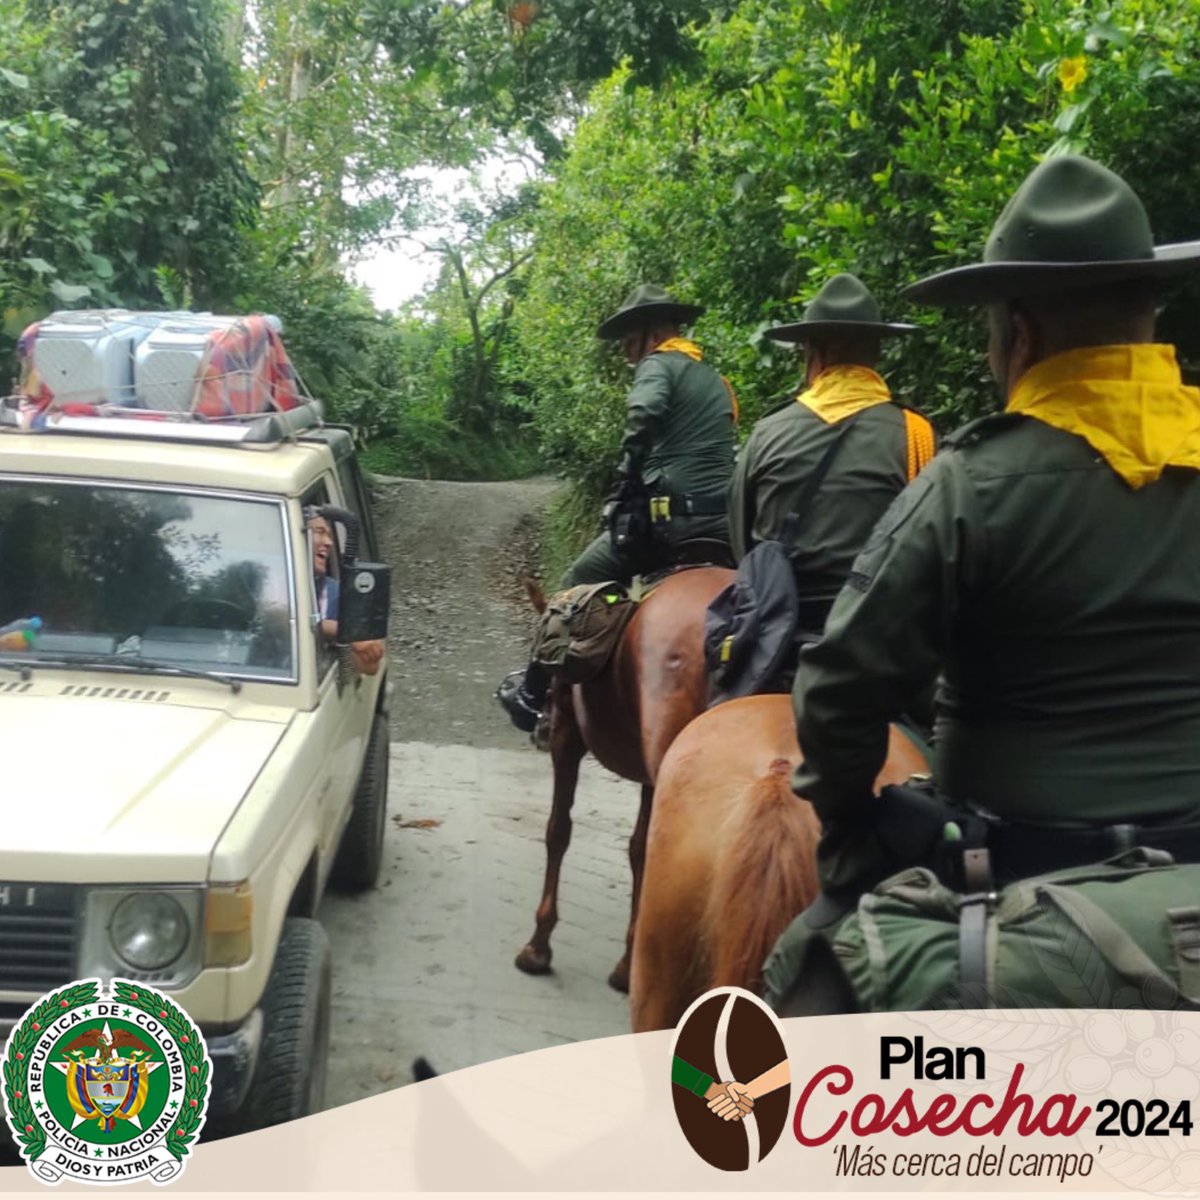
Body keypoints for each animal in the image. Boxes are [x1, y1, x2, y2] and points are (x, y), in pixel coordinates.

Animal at [513, 564, 729, 993]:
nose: (539, 724)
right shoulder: (650, 776)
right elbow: (639, 850)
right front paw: (629, 965)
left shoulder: (567, 738)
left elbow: (558, 831)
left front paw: (538, 948)